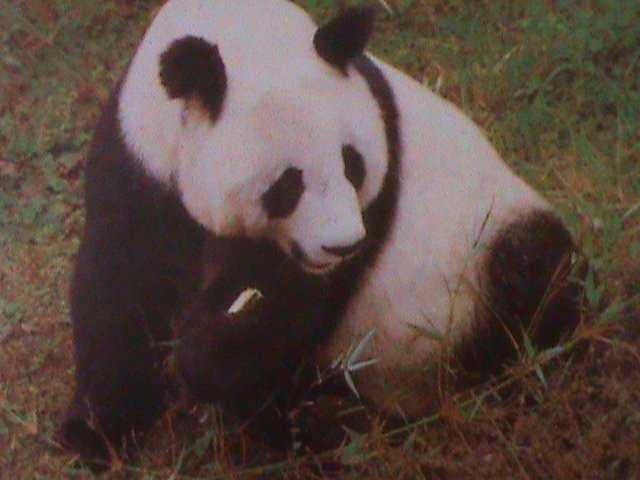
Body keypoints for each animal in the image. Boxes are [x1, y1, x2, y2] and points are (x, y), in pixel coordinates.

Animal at [58, 0, 583, 466]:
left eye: (353, 164)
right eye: (286, 186)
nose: (342, 244)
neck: (241, 30)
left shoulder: (375, 181)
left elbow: (284, 315)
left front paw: (206, 355)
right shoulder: (137, 161)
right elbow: (119, 288)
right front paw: (97, 433)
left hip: (484, 247)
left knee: (535, 279)